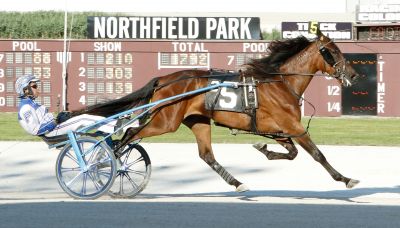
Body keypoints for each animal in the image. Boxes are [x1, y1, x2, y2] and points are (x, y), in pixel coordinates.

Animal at [70, 29, 360, 192]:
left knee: (206, 155)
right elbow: (317, 154)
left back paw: (238, 183)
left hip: (197, 120)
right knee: (128, 134)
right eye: (333, 51)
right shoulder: (294, 127)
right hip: (165, 121)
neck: (279, 83)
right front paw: (345, 179)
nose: (354, 75)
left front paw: (263, 149)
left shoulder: (279, 128)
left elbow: (291, 153)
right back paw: (100, 164)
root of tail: (164, 79)